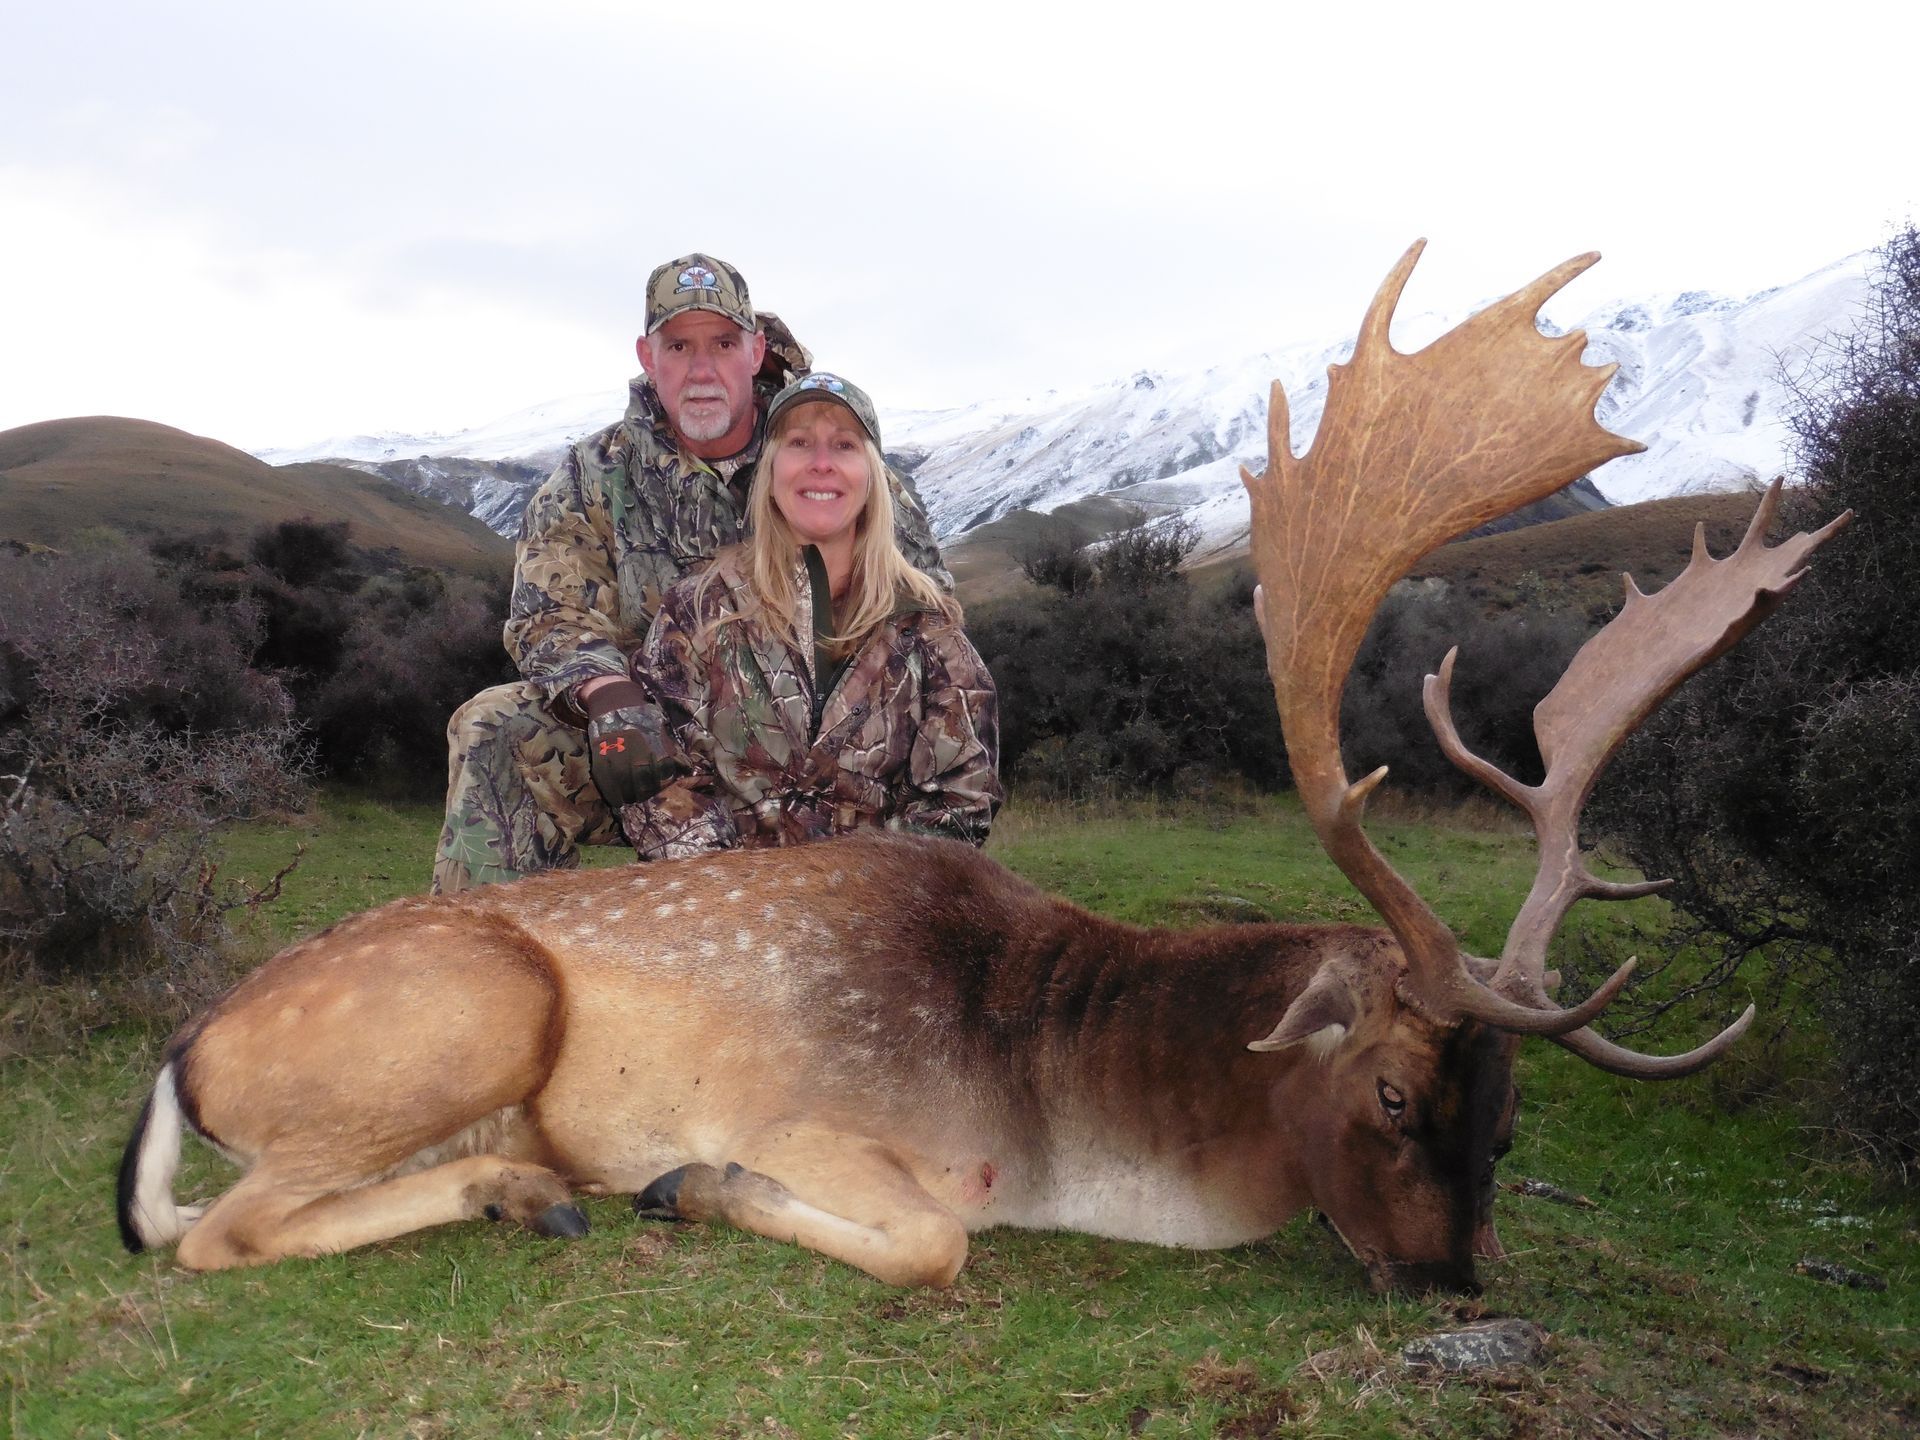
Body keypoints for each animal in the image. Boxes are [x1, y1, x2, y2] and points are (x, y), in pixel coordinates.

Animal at [117, 242, 1848, 1292]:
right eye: (1394, 1086)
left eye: (1514, 1116)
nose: (1447, 1280)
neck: (1052, 1105)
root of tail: (188, 1048)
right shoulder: (816, 1120)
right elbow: (935, 1241)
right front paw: (684, 1186)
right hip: (472, 1009)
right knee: (210, 1229)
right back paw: (531, 1187)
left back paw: (518, 1187)